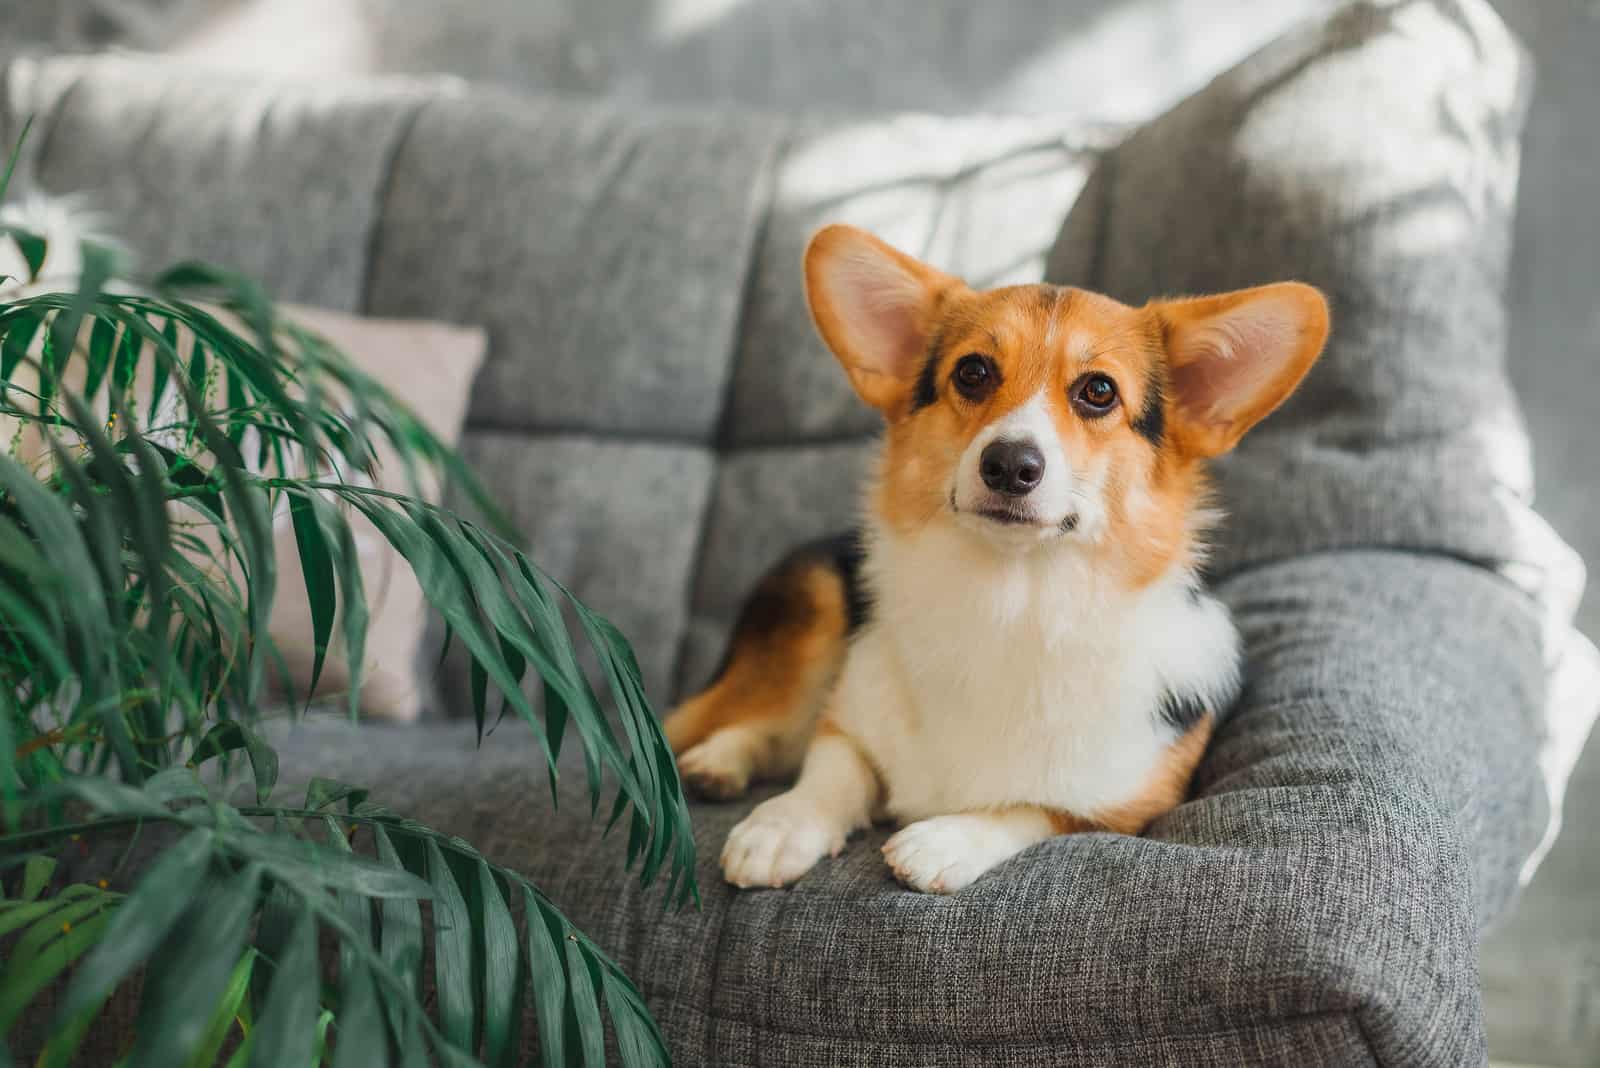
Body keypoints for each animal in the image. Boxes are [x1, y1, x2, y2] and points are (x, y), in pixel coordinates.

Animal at [662, 223, 1324, 895]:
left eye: (1099, 391)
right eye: (973, 372)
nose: (1008, 464)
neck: (1011, 598)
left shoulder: (1122, 807)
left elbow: (1032, 809)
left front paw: (944, 840)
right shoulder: (846, 718)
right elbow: (833, 764)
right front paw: (782, 826)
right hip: (810, 618)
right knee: (752, 719)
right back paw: (717, 760)